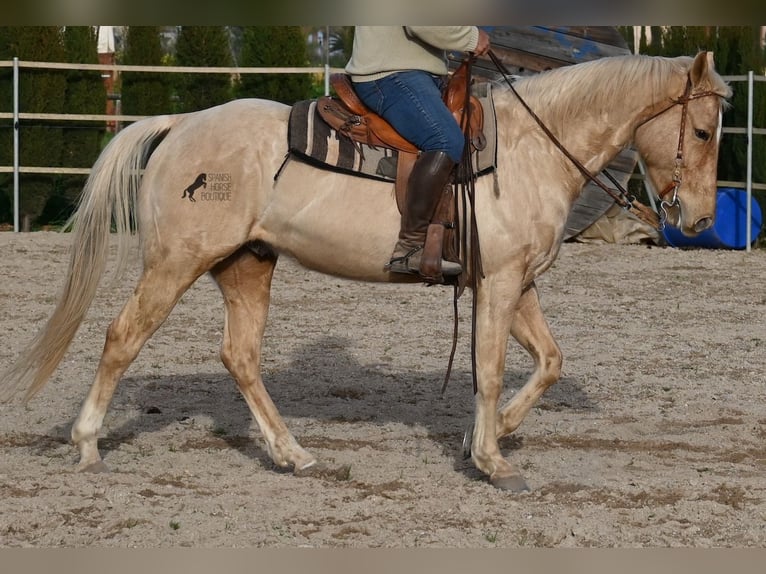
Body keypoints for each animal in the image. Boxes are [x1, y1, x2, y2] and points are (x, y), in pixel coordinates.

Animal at [0, 53, 732, 490]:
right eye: (701, 132)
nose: (698, 219)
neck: (531, 150)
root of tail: (181, 125)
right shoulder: (498, 284)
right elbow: (492, 369)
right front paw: (492, 459)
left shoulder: (516, 282)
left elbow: (549, 362)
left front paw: (489, 435)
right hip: (177, 262)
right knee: (123, 337)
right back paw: (87, 444)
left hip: (246, 266)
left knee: (240, 356)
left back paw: (292, 453)